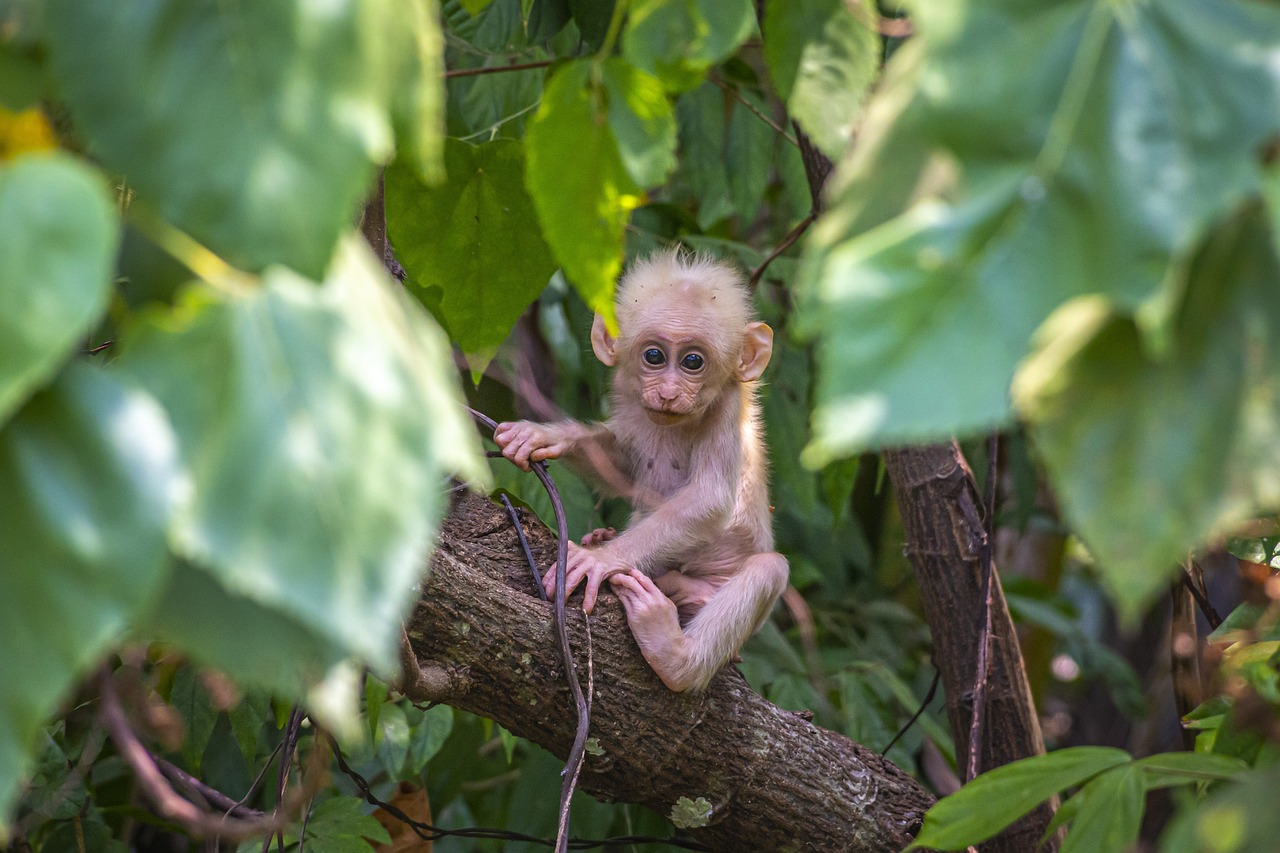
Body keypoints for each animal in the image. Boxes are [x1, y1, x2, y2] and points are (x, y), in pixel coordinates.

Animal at [491, 247, 783, 691]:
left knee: (769, 568)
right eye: (654, 356)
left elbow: (711, 498)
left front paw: (601, 560)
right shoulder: (629, 395)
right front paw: (545, 436)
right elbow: (623, 468)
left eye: (693, 361)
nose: (668, 393)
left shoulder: (728, 406)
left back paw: (674, 655)